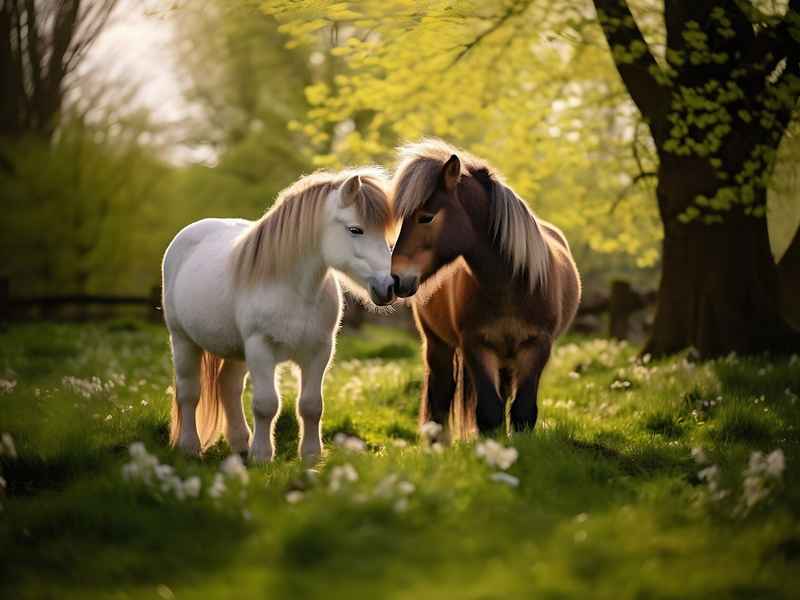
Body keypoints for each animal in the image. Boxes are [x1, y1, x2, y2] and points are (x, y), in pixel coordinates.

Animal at [161, 168, 396, 462]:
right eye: (355, 229)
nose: (390, 286)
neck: (294, 289)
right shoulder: (260, 348)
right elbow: (266, 404)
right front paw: (262, 456)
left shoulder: (319, 351)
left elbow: (311, 406)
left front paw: (311, 456)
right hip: (183, 340)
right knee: (189, 393)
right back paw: (190, 448)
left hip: (235, 351)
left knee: (228, 387)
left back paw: (240, 444)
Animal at [390, 139, 581, 439]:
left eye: (426, 217)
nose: (396, 278)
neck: (509, 286)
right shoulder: (476, 346)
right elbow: (490, 412)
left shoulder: (537, 346)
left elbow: (522, 411)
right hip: (438, 345)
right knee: (441, 395)